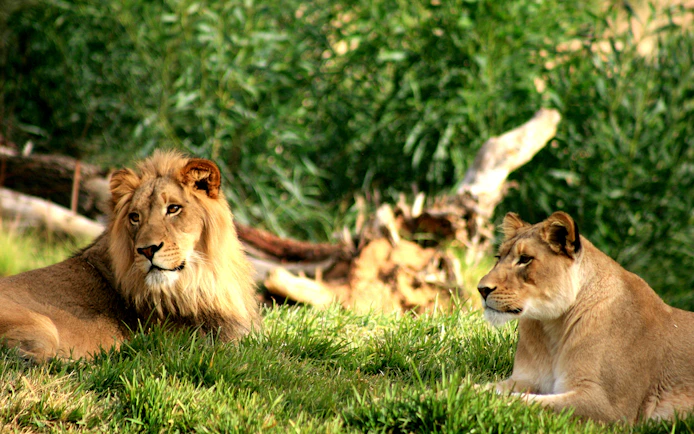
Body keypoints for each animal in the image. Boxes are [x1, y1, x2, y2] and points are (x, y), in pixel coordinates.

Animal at [477, 211, 694, 423]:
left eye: (525, 259)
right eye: (498, 257)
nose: (482, 289)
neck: (552, 328)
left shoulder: (610, 407)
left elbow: (525, 401)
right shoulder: (525, 379)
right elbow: (484, 387)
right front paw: (472, 389)